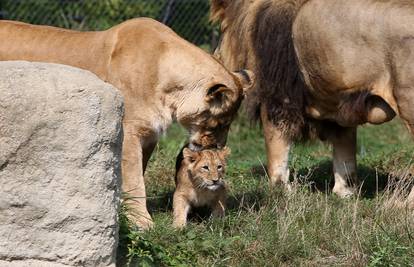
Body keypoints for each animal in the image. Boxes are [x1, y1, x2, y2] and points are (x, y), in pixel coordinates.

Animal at [0, 18, 254, 228]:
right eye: (220, 123)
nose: (218, 148)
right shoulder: (128, 131)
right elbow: (134, 180)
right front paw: (141, 221)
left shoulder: (149, 135)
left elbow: (135, 174)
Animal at [212, 0, 414, 199]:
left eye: (221, 30)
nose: (216, 55)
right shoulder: (340, 101)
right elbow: (345, 152)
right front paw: (345, 192)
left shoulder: (277, 99)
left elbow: (277, 150)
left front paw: (280, 191)